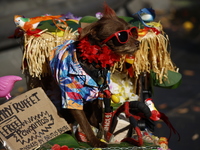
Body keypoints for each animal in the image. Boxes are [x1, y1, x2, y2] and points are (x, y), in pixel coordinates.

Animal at [48, 3, 139, 148]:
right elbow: (85, 124)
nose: (138, 42)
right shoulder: (72, 100)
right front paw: (95, 141)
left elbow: (96, 120)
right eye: (121, 35)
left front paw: (101, 134)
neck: (94, 65)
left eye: (132, 31)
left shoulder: (97, 97)